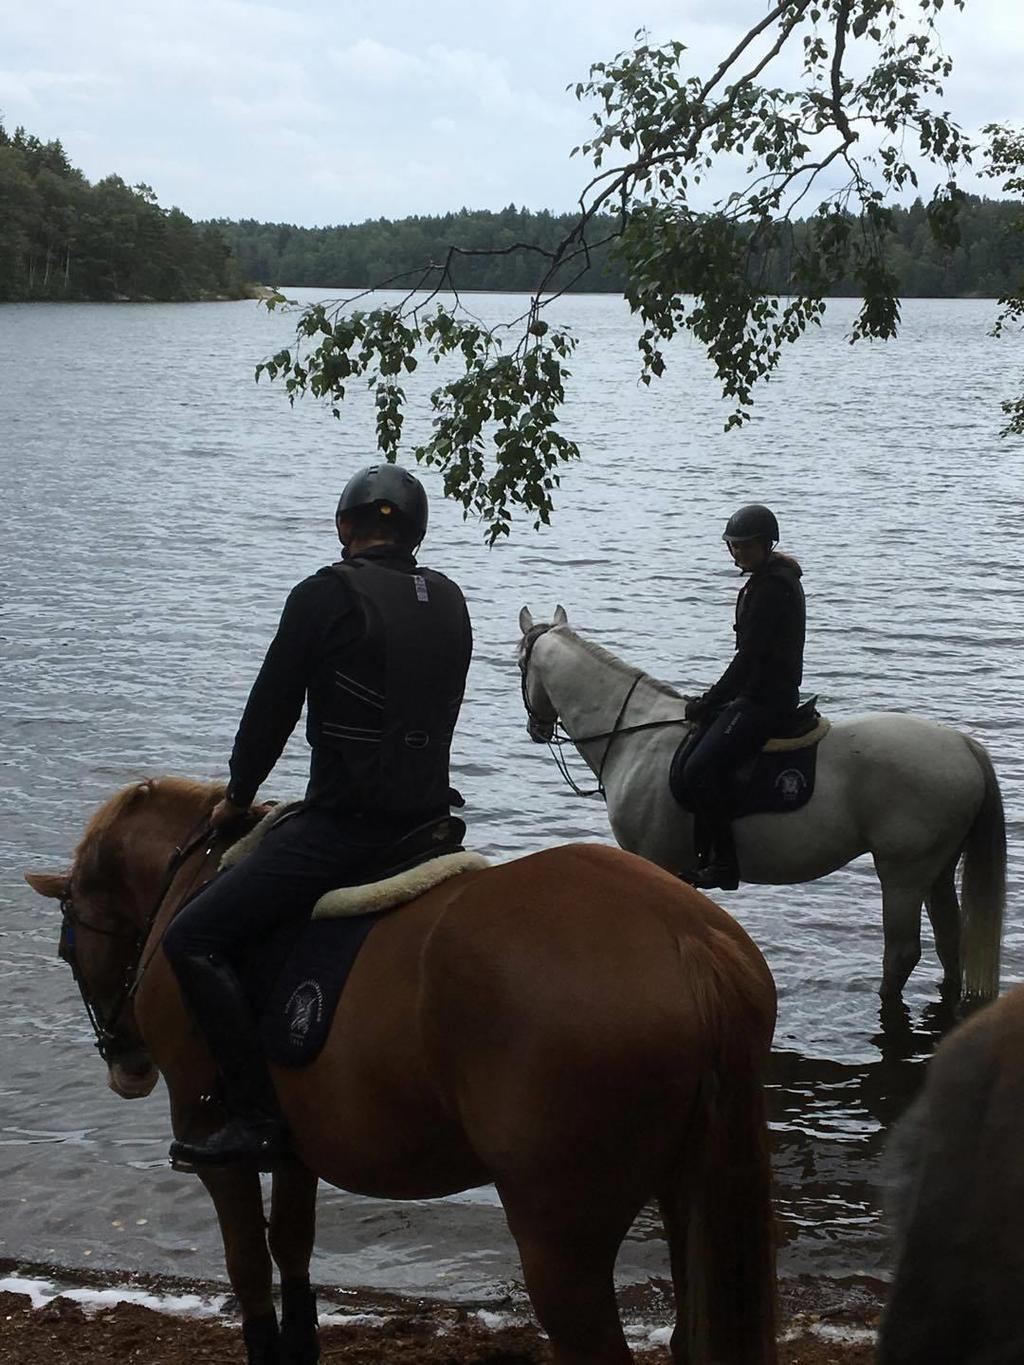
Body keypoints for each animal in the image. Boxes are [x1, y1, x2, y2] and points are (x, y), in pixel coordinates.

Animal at [22, 780, 775, 1365]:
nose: (126, 1067)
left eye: (67, 945)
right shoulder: (293, 1147)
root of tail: (684, 935)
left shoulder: (213, 1138)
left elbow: (248, 1263)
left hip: (562, 1239)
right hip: (685, 1193)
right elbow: (291, 1246)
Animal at [516, 608, 1004, 1004]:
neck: (636, 732)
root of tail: (963, 745)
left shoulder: (652, 861)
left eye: (519, 662)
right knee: (949, 941)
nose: (536, 728)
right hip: (936, 870)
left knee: (902, 953)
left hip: (903, 874)